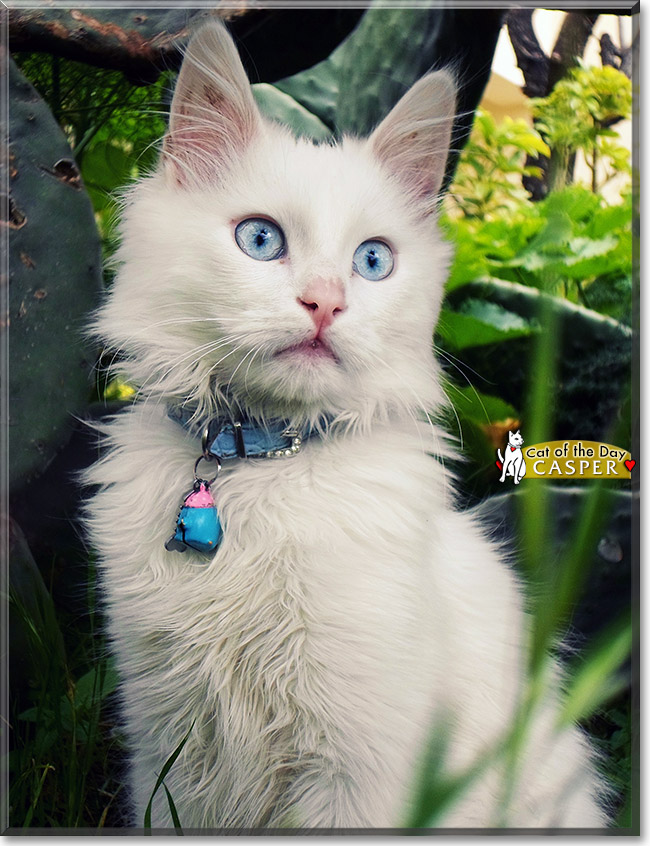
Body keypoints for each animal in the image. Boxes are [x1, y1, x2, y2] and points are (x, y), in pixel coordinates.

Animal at [83, 21, 604, 836]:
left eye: (373, 261)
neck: (264, 462)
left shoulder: (361, 764)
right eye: (261, 241)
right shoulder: (165, 746)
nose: (327, 303)